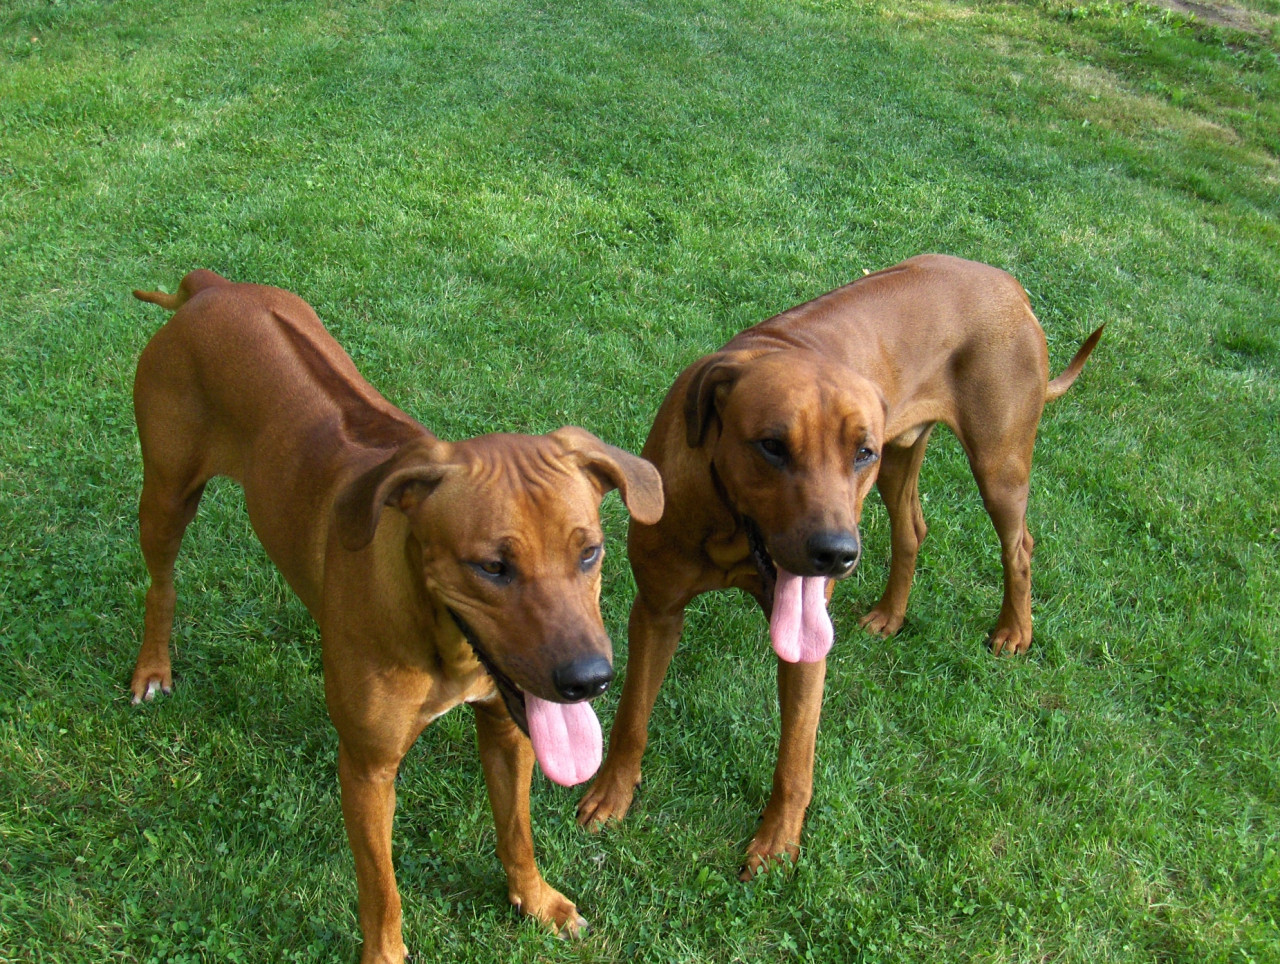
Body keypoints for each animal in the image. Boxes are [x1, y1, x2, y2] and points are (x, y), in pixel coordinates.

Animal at [129, 271, 665, 962]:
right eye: (492, 567)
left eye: (590, 552)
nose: (589, 680)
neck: (444, 641)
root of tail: (211, 288)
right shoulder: (366, 769)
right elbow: (380, 888)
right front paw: (384, 952)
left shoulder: (507, 725)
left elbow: (516, 830)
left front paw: (535, 898)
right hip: (167, 490)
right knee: (161, 584)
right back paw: (152, 668)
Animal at [578, 253, 1100, 880]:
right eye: (772, 446)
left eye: (858, 453)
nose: (836, 555)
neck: (728, 528)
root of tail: (1007, 282)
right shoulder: (657, 608)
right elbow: (632, 715)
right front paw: (613, 792)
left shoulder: (806, 641)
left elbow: (795, 757)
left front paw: (777, 842)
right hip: (903, 458)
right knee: (912, 530)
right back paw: (891, 614)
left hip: (994, 461)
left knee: (1018, 544)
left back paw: (1014, 630)